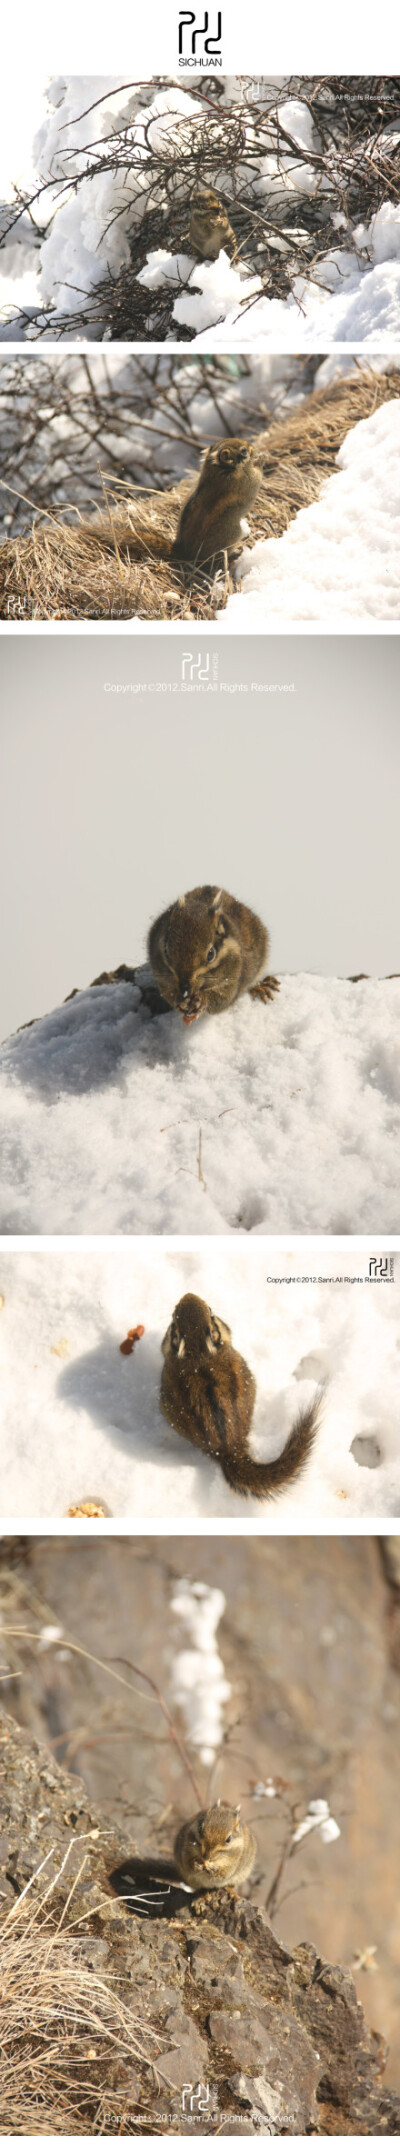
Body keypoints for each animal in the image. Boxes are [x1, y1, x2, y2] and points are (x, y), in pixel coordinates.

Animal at [147, 888, 277, 1030]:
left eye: (211, 954)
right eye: (166, 951)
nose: (185, 990)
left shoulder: (232, 982)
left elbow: (221, 1000)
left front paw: (201, 1000)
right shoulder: (162, 979)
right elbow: (167, 993)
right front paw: (178, 1001)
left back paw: (261, 987)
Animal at [169, 439, 261, 569]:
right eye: (244, 450)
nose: (254, 447)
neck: (215, 469)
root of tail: (183, 551)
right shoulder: (247, 480)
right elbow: (257, 476)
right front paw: (260, 460)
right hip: (231, 534)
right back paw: (235, 553)